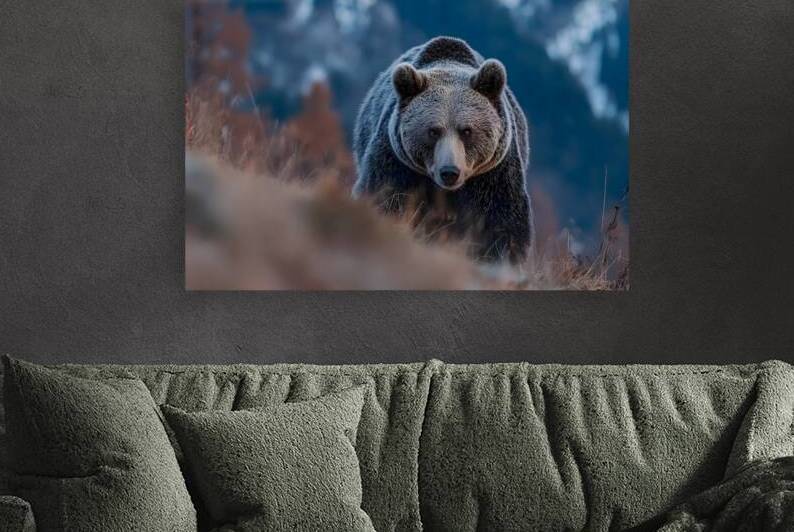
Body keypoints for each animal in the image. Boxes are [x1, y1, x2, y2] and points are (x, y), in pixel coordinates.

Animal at [353, 36, 533, 264]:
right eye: (433, 131)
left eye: (466, 130)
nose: (449, 172)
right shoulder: (397, 163)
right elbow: (385, 198)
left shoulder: (493, 174)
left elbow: (501, 221)